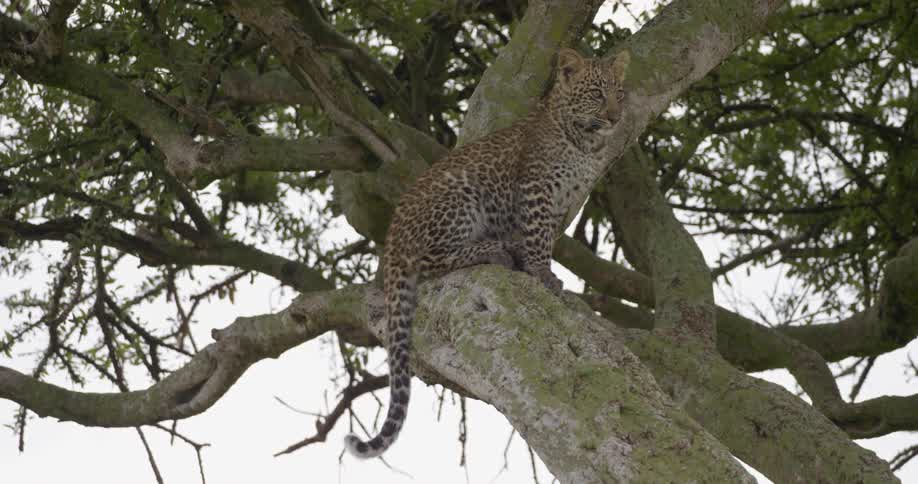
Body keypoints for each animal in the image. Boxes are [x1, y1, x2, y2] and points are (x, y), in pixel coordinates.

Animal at [345, 48, 629, 458]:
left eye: (619, 93)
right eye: (596, 93)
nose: (615, 117)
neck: (586, 142)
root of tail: (394, 236)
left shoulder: (564, 200)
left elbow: (544, 236)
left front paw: (535, 262)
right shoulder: (537, 189)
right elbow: (539, 238)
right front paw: (541, 273)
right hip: (459, 198)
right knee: (429, 261)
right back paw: (493, 250)